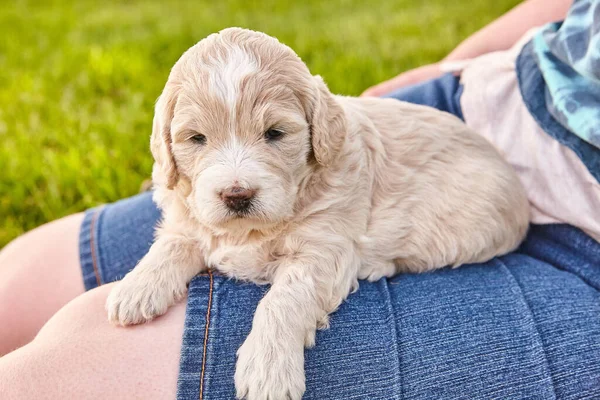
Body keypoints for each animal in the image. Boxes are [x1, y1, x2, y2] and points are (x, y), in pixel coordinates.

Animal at [105, 28, 528, 400]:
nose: (236, 195)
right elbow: (172, 244)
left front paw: (268, 369)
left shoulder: (322, 251)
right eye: (196, 139)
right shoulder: (193, 220)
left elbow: (282, 301)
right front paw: (134, 289)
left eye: (275, 134)